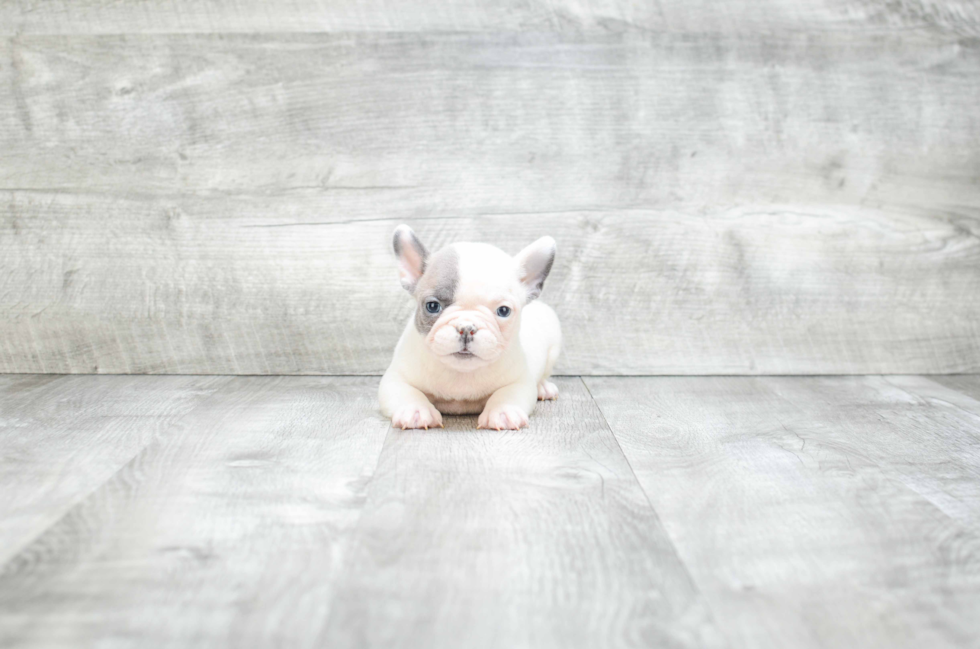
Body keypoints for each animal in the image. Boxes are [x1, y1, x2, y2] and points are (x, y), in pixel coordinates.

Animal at [378, 224, 564, 430]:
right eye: (432, 306)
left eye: (504, 311)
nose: (467, 327)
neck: (461, 372)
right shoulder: (395, 378)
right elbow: (407, 392)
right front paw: (415, 410)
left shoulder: (519, 381)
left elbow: (506, 394)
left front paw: (503, 412)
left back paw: (543, 387)